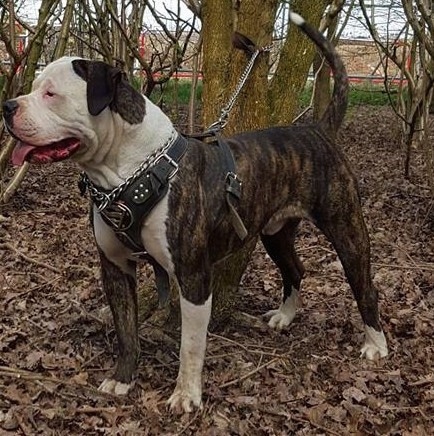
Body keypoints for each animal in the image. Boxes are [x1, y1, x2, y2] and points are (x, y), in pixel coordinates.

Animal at [1, 11, 388, 412]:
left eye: (51, 94)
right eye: (34, 87)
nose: (8, 106)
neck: (132, 169)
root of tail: (317, 128)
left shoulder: (193, 277)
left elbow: (190, 345)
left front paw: (186, 395)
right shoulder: (115, 267)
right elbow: (126, 330)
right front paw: (123, 379)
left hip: (345, 228)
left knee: (365, 285)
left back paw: (376, 344)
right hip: (275, 232)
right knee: (295, 268)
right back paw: (285, 316)